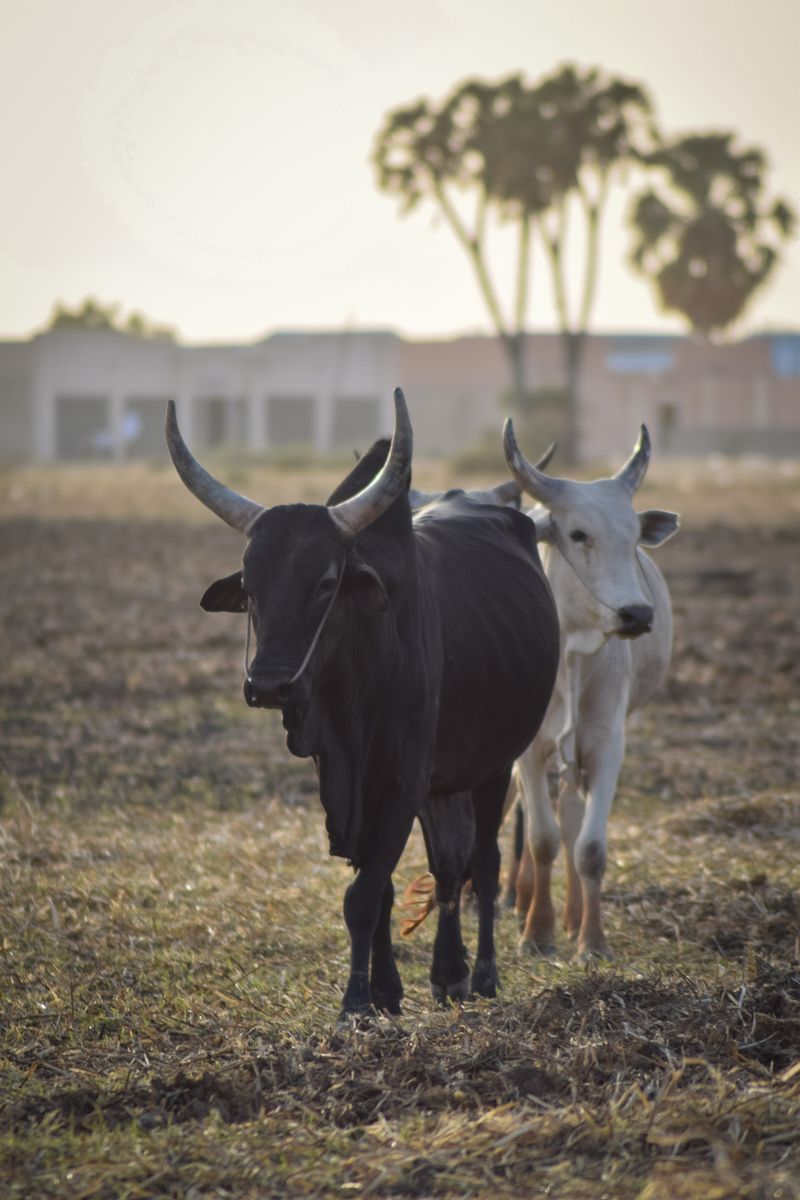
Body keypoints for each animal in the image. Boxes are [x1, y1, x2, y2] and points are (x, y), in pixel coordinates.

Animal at [165, 390, 559, 1016]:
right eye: (249, 586)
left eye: (327, 582)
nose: (268, 684)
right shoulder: (350, 785)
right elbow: (383, 891)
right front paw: (385, 992)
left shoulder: (399, 782)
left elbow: (364, 894)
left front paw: (354, 1004)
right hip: (444, 780)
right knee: (448, 868)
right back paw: (448, 972)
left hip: (493, 765)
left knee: (483, 862)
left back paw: (482, 975)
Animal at [501, 420, 679, 962]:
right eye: (579, 534)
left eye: (634, 538)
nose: (637, 614)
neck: (571, 649)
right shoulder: (528, 748)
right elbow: (541, 839)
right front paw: (536, 934)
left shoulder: (606, 744)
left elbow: (589, 847)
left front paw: (591, 942)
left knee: (572, 814)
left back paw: (575, 914)